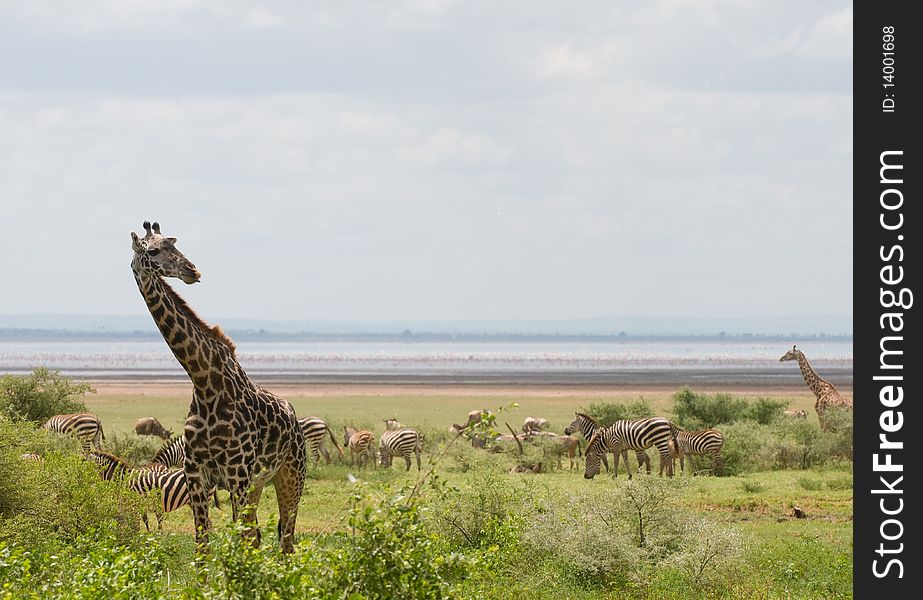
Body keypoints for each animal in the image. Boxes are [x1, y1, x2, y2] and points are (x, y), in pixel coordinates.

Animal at [130, 220, 306, 552]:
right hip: (258, 485)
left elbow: (238, 542)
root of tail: (295, 419)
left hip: (292, 475)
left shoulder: (237, 474)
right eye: (154, 250)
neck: (204, 381)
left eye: (174, 244)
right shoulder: (196, 475)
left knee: (286, 541)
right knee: (258, 538)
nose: (192, 270)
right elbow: (203, 544)